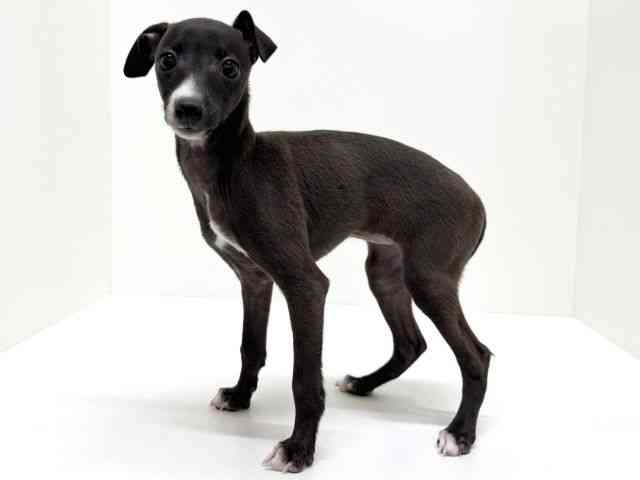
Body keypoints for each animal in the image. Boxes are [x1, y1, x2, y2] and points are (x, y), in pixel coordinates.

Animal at [124, 11, 491, 473]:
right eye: (166, 60)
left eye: (230, 67)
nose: (187, 108)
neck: (235, 165)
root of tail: (477, 200)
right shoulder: (255, 279)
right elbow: (251, 347)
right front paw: (240, 396)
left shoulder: (305, 285)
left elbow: (304, 381)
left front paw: (299, 449)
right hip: (386, 273)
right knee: (411, 343)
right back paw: (363, 383)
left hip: (428, 278)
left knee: (476, 356)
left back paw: (460, 434)